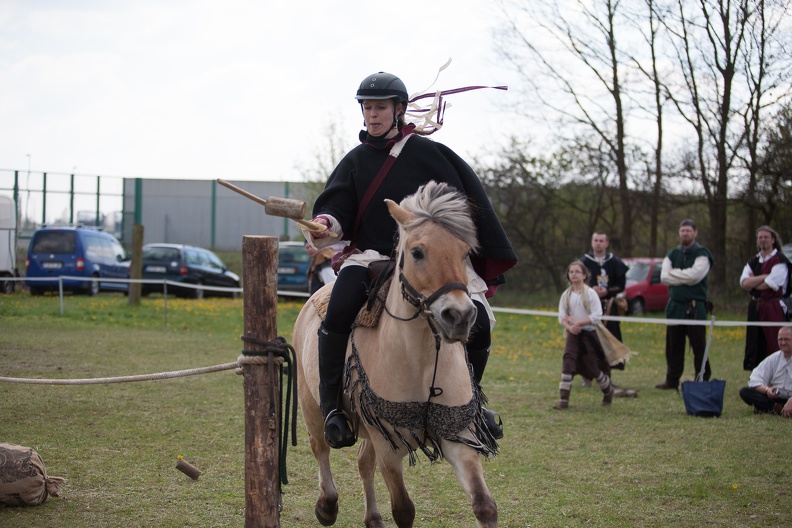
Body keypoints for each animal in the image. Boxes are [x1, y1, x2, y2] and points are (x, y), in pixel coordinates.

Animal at [294, 183, 498, 528]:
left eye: (465, 253)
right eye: (417, 252)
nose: (459, 316)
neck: (421, 361)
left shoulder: (458, 437)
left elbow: (485, 505)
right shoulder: (388, 446)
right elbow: (403, 509)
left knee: (363, 462)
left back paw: (372, 518)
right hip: (312, 405)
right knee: (320, 448)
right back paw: (327, 505)